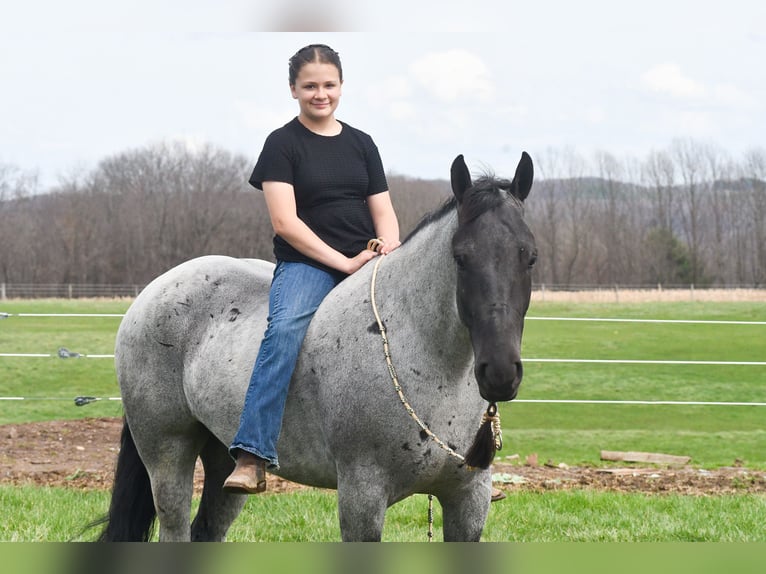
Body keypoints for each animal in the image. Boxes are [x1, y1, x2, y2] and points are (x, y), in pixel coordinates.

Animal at [95, 152, 537, 542]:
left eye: (530, 256)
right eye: (461, 257)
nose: (500, 373)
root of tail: (153, 291)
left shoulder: (468, 502)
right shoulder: (362, 498)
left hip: (222, 460)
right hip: (167, 454)